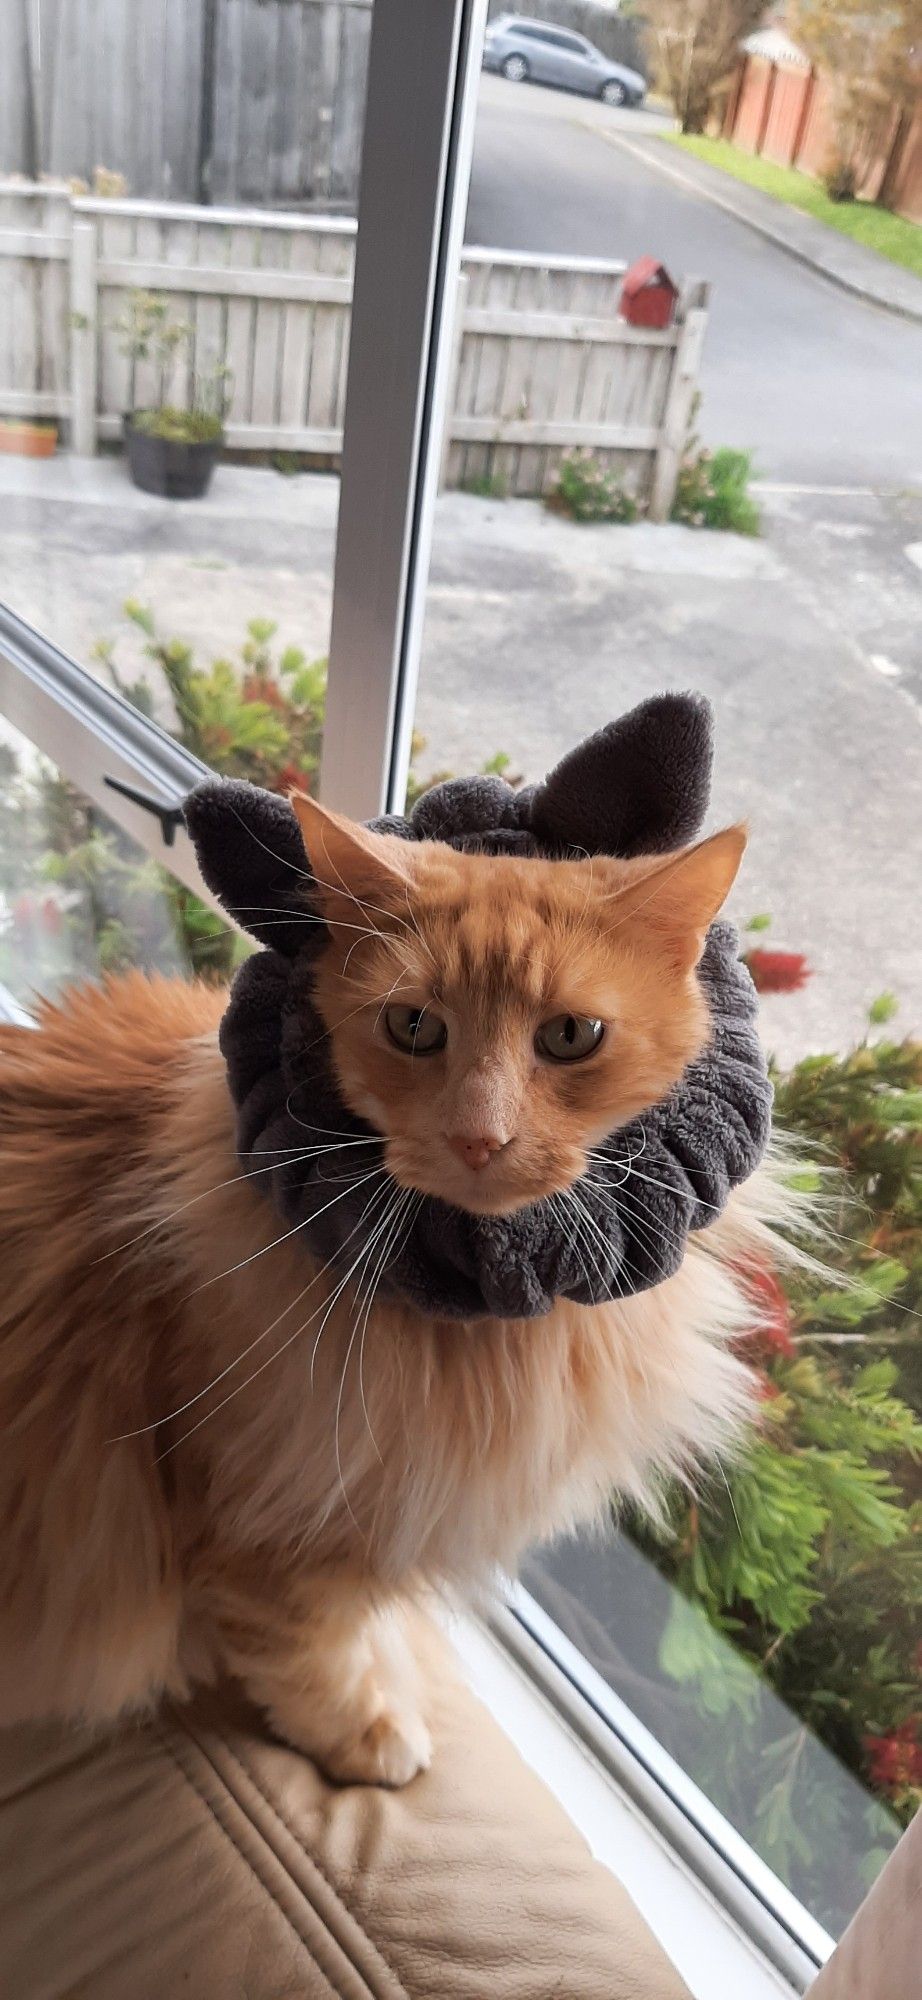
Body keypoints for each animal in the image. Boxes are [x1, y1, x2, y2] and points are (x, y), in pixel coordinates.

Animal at [0, 788, 768, 1792]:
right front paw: (368, 1733)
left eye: (570, 1037)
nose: (479, 1138)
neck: (476, 1328)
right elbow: (308, 1651)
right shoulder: (264, 1526)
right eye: (414, 1028)